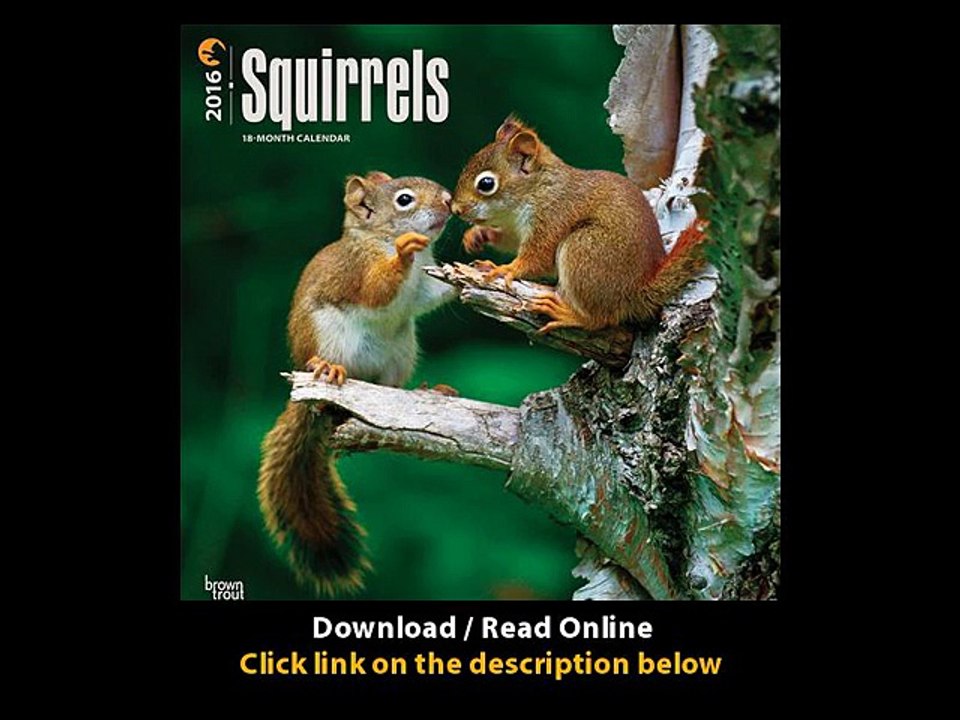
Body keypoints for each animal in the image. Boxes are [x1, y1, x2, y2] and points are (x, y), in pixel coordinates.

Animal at [257, 171, 456, 596]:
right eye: (404, 200)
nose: (450, 201)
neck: (376, 238)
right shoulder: (358, 271)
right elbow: (377, 289)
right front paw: (403, 253)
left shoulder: (424, 286)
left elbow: (435, 295)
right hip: (329, 336)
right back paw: (327, 369)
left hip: (402, 350)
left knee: (391, 389)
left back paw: (426, 391)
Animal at [450, 115, 707, 333]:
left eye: (486, 184)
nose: (455, 209)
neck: (537, 189)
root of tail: (637, 289)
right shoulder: (517, 229)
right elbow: (510, 241)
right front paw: (478, 235)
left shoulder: (554, 216)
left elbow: (537, 258)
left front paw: (507, 269)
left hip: (584, 248)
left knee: (602, 319)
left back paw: (567, 314)